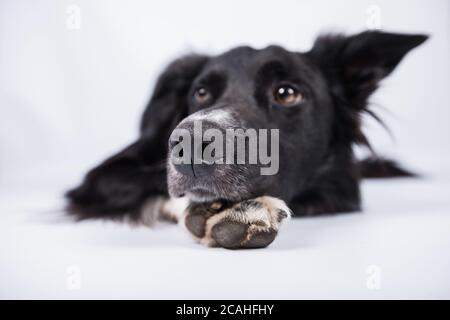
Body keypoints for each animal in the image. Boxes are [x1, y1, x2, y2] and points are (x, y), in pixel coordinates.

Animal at [65, 30, 428, 249]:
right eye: (201, 92)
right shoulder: (103, 177)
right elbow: (154, 184)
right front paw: (222, 209)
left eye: (286, 93)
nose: (191, 145)